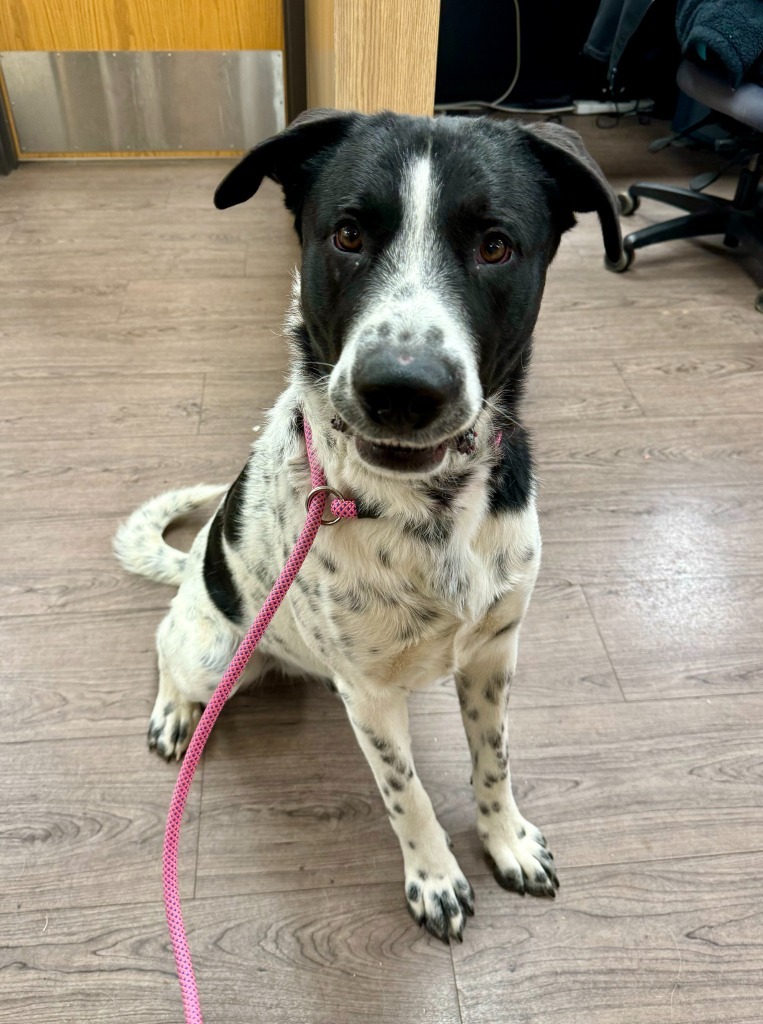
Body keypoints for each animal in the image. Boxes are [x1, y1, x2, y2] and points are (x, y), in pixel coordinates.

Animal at [114, 108, 618, 937]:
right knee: (166, 648)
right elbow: (404, 794)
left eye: (494, 245)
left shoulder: (493, 655)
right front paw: (434, 877)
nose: (403, 390)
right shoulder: (372, 698)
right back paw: (175, 712)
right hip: (213, 649)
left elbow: (494, 760)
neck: (427, 507)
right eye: (347, 235)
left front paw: (505, 839)